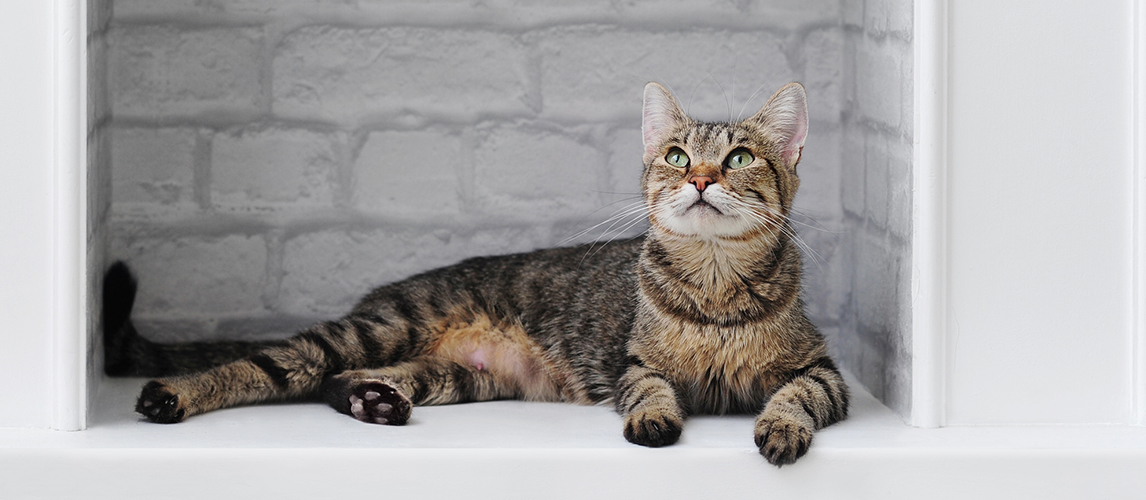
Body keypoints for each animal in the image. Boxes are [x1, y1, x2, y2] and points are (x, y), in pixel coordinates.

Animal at [103, 80, 848, 467]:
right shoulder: (634, 362)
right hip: (380, 328)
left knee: (337, 381)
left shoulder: (824, 370)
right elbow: (649, 389)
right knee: (273, 365)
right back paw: (173, 395)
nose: (699, 178)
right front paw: (656, 418)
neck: (715, 286)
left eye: (741, 158)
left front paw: (781, 428)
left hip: (458, 376)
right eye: (675, 156)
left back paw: (371, 401)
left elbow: (797, 395)